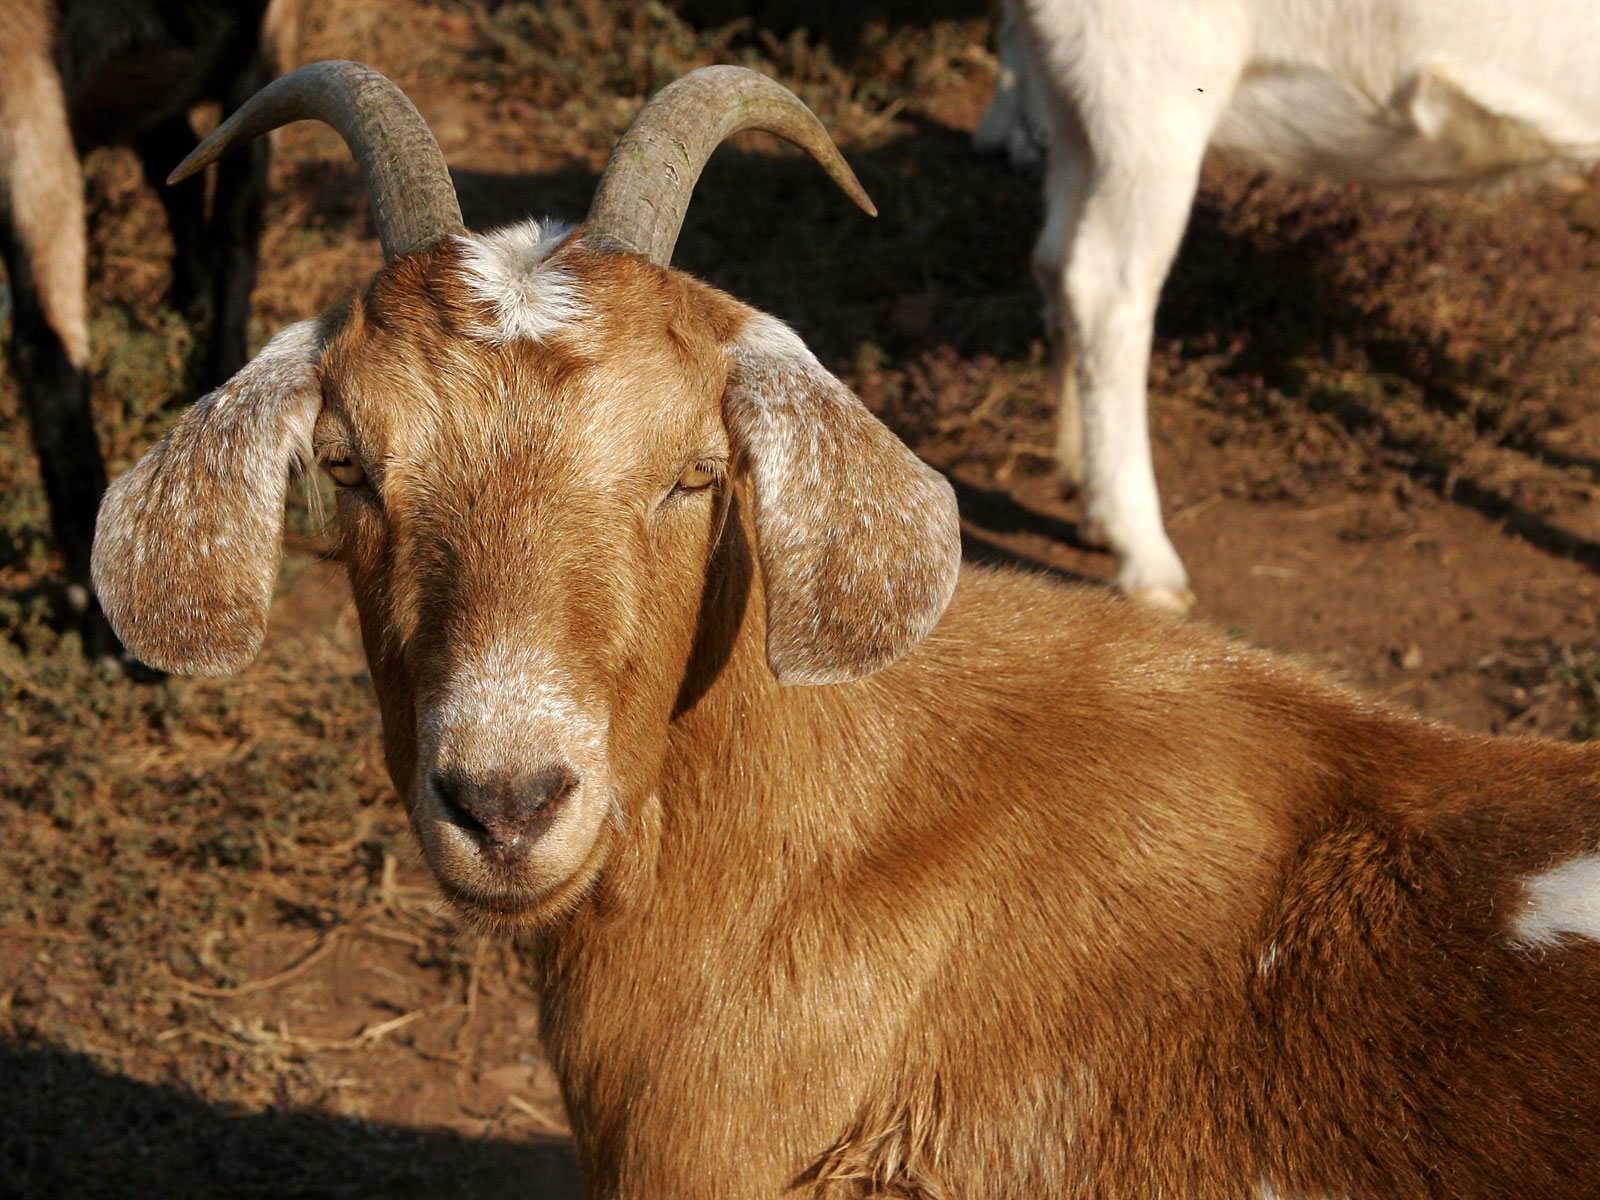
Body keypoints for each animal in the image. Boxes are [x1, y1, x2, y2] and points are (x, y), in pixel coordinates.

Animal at [979, 0, 1600, 611]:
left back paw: (1084, 488)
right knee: (1107, 290)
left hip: (1072, 93)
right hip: (1150, 78)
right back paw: (1146, 555)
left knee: (1057, 260)